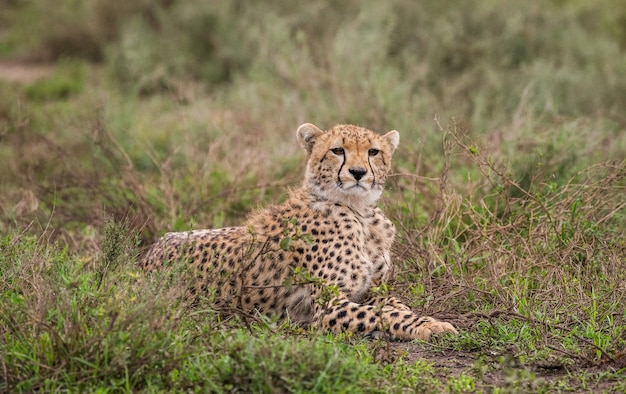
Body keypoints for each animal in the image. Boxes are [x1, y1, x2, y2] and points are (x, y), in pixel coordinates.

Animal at [140, 124, 454, 342]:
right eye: (337, 150)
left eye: (373, 152)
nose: (357, 172)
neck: (360, 212)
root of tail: (150, 252)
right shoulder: (328, 306)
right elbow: (382, 314)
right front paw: (430, 326)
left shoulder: (373, 290)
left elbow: (396, 305)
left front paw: (424, 320)